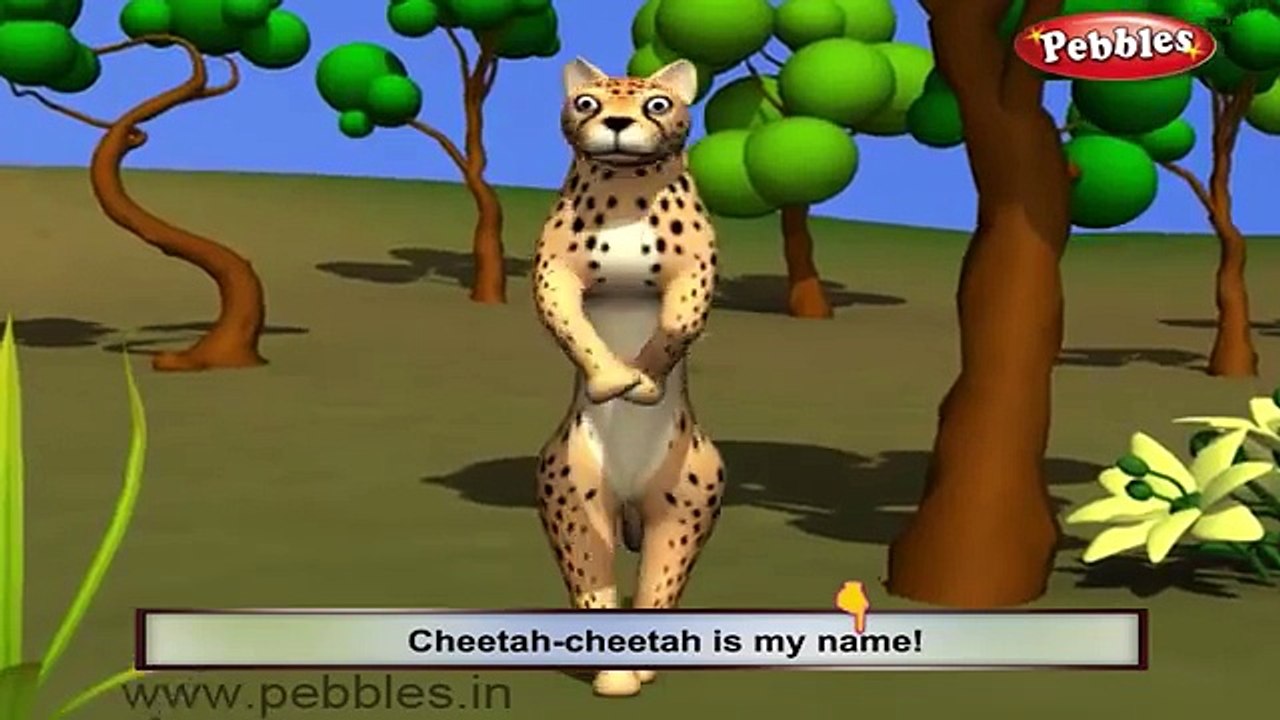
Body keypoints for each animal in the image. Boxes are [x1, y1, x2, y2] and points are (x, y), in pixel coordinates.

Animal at [529, 57, 725, 698]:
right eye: (587, 103)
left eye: (657, 105)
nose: (616, 123)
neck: (625, 191)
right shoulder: (553, 271)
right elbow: (569, 323)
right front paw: (611, 380)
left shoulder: (695, 272)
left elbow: (677, 324)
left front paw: (642, 383)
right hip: (575, 501)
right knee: (596, 584)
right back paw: (613, 674)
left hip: (685, 505)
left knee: (659, 585)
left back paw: (642, 666)